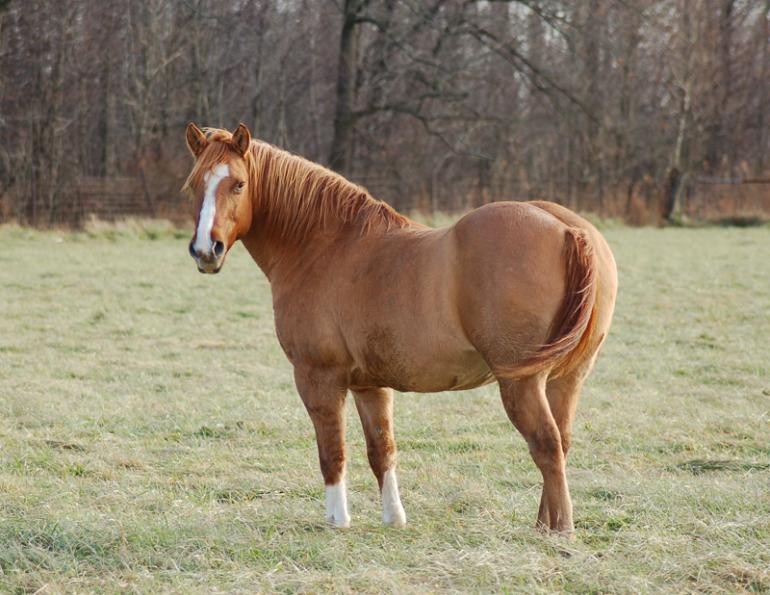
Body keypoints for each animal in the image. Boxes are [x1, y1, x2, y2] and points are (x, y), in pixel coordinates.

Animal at [182, 122, 617, 534]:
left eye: (238, 183)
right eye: (193, 185)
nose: (206, 250)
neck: (325, 246)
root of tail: (568, 230)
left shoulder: (317, 377)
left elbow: (332, 451)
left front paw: (337, 520)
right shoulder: (369, 384)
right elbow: (382, 450)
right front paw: (394, 518)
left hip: (522, 383)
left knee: (546, 445)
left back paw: (560, 531)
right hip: (566, 380)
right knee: (561, 442)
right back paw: (544, 524)